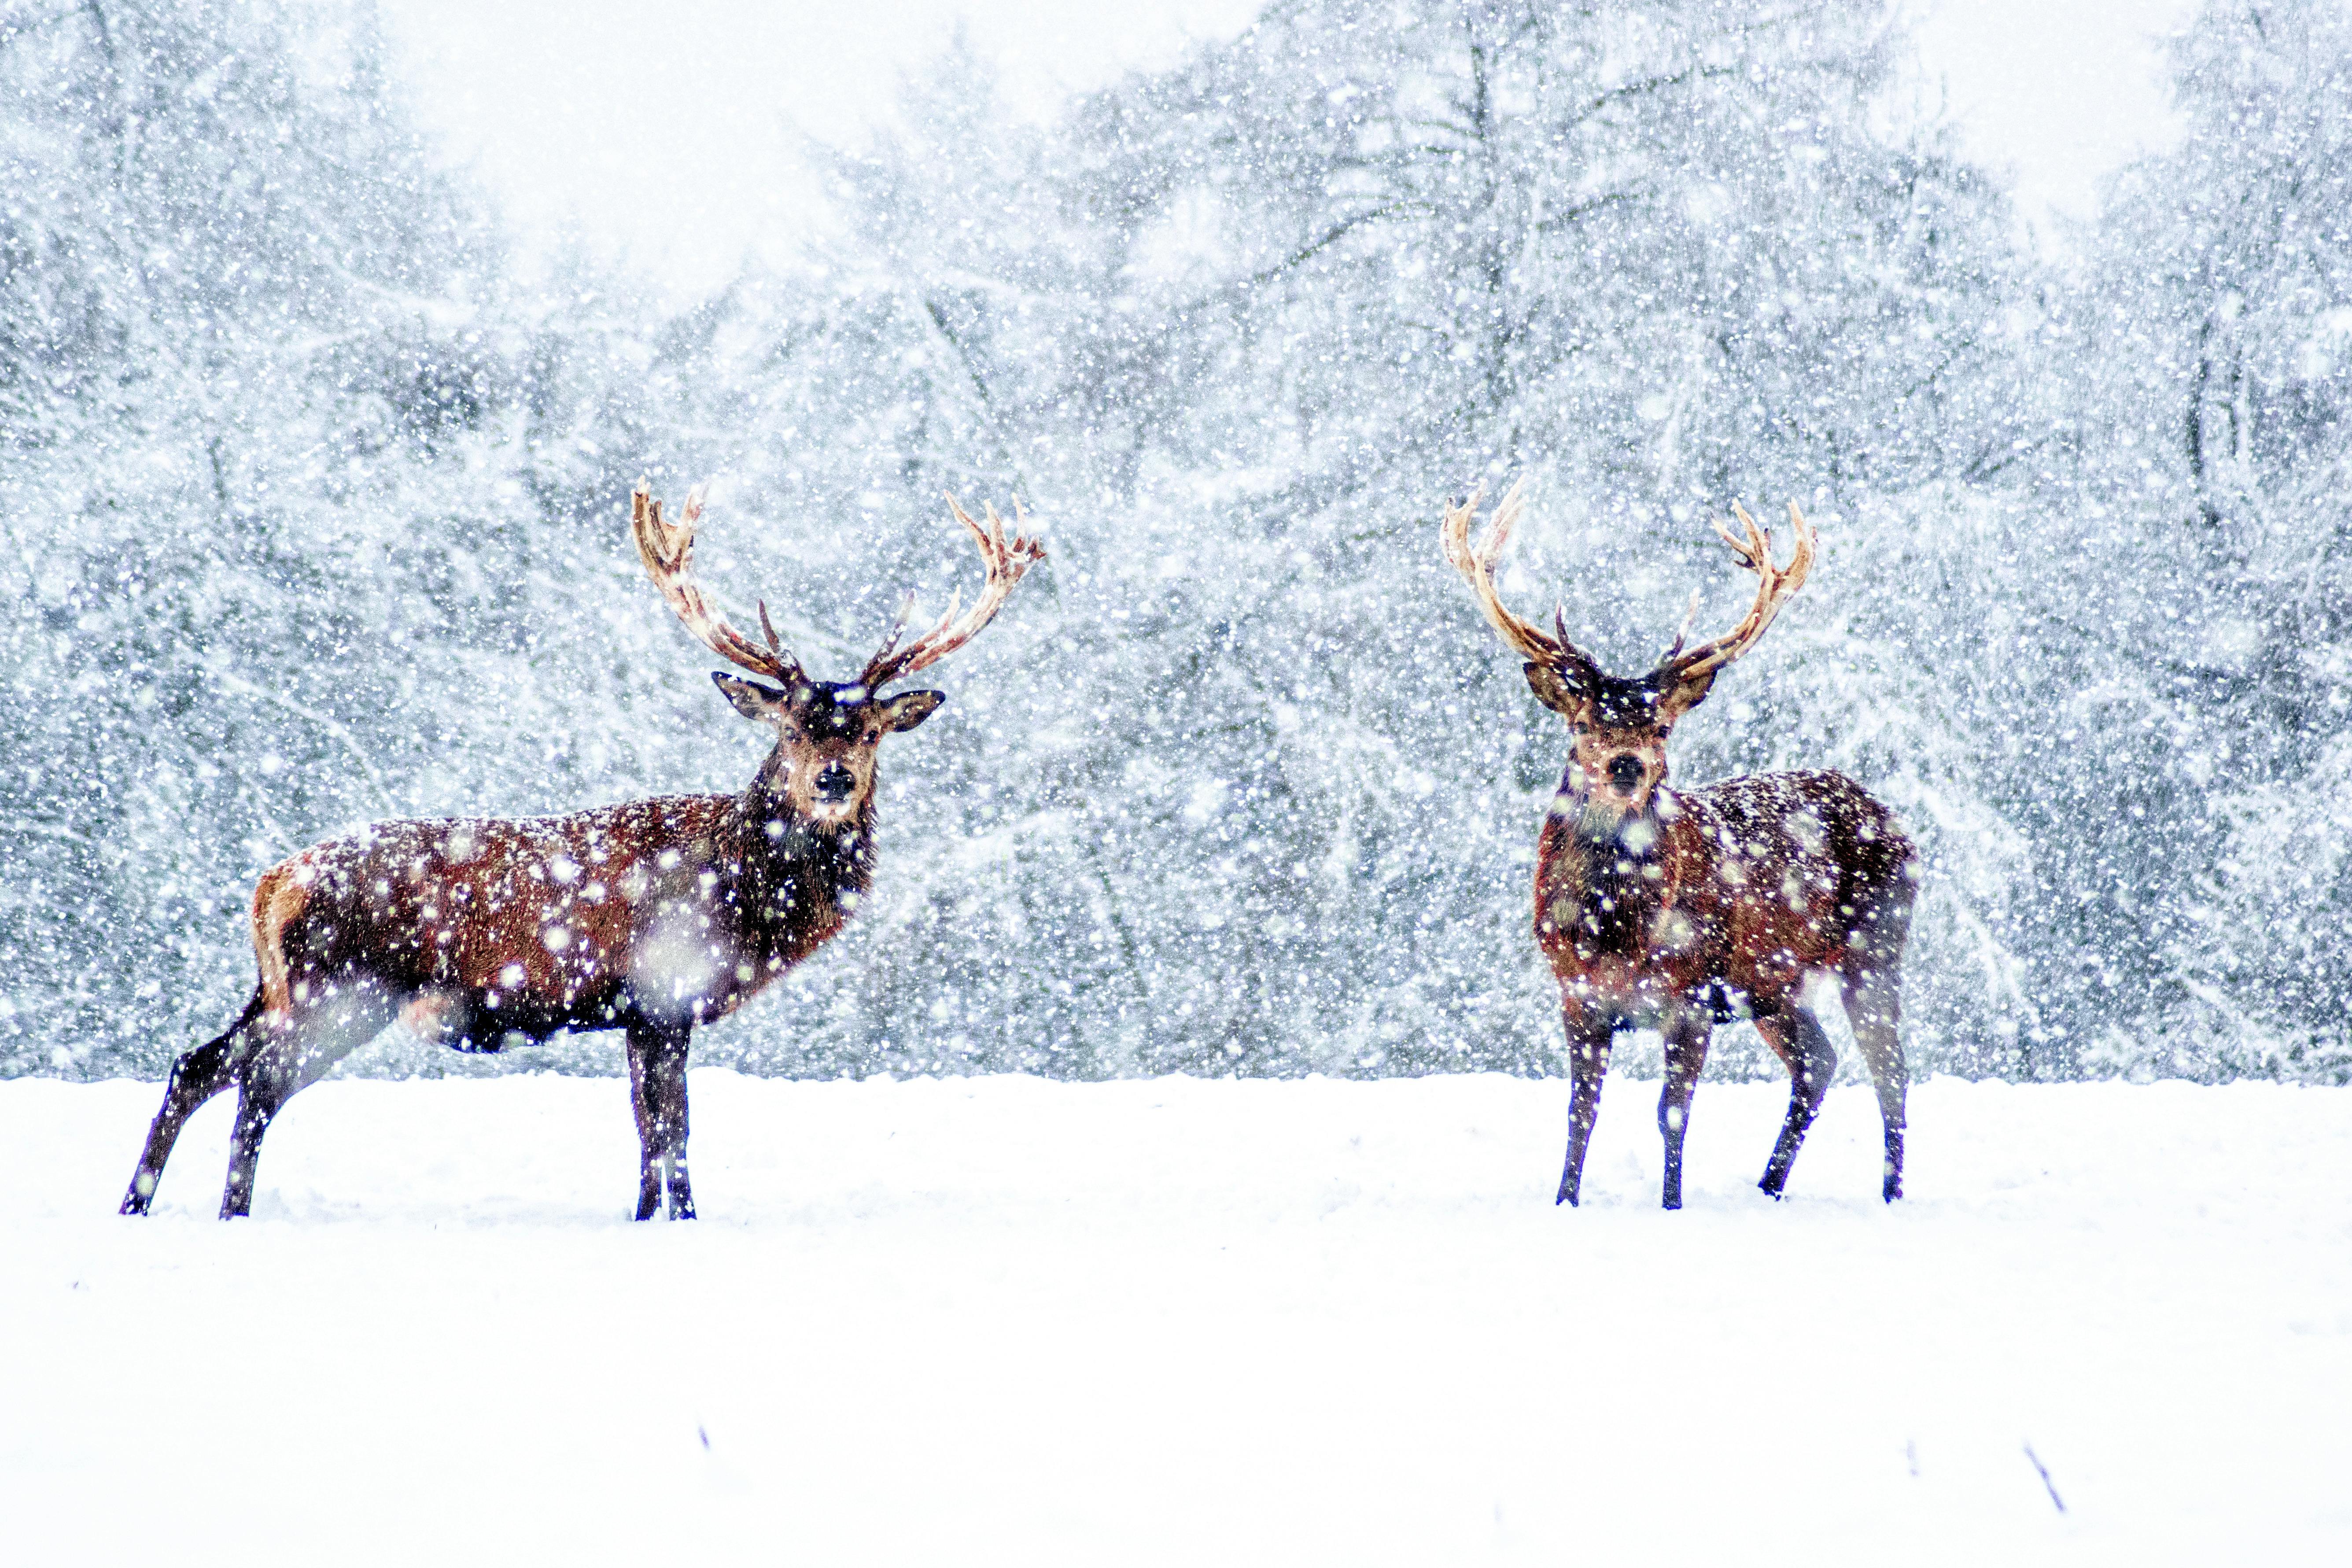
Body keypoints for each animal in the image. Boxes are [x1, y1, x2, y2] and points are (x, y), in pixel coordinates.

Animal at [124, 484, 1044, 1222]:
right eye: (789, 728)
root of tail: (272, 882)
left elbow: (648, 1134)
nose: (831, 777)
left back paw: (137, 1205)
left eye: (870, 732)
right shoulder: (666, 989)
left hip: (280, 987)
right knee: (257, 1087)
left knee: (197, 1065)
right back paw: (229, 1214)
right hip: (340, 987)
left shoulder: (640, 1013)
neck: (743, 896)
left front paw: (643, 1222)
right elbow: (672, 1132)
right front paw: (682, 1224)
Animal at [1439, 484, 1919, 1213]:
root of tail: (1891, 820)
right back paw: (1767, 1187)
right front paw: (1565, 1202)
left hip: (1875, 942)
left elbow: (1672, 1113)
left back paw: (1890, 1194)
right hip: (1771, 982)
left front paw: (1671, 1207)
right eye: (1583, 723)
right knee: (1818, 1062)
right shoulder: (1576, 996)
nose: (1627, 766)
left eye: (1660, 726)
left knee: (1888, 1069)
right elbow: (1580, 1111)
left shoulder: (1690, 996)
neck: (1612, 931)